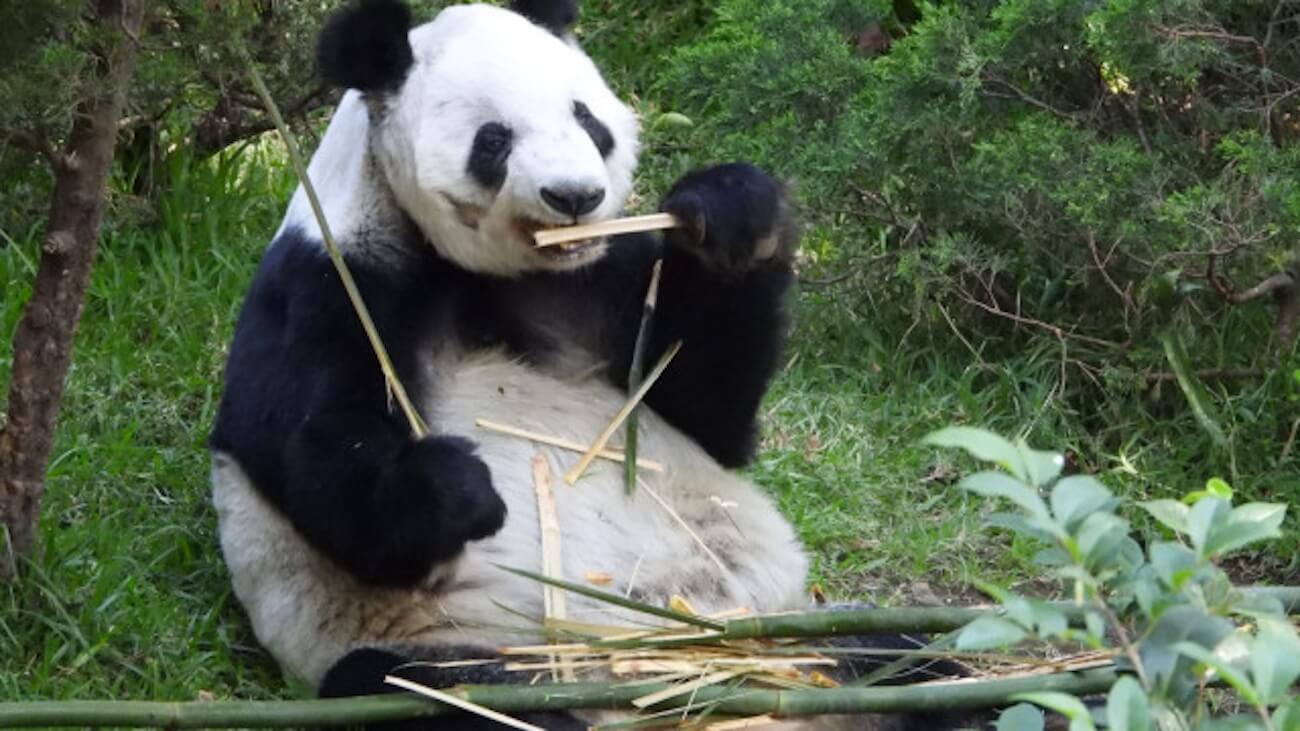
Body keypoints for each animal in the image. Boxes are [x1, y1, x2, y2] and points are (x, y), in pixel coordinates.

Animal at [209, 1, 957, 728]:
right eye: (493, 140)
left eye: (587, 119)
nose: (574, 197)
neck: (481, 274)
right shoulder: (329, 283)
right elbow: (319, 463)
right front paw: (460, 487)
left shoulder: (600, 283)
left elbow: (711, 414)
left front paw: (731, 213)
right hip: (474, 655)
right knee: (424, 692)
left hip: (795, 641)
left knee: (914, 659)